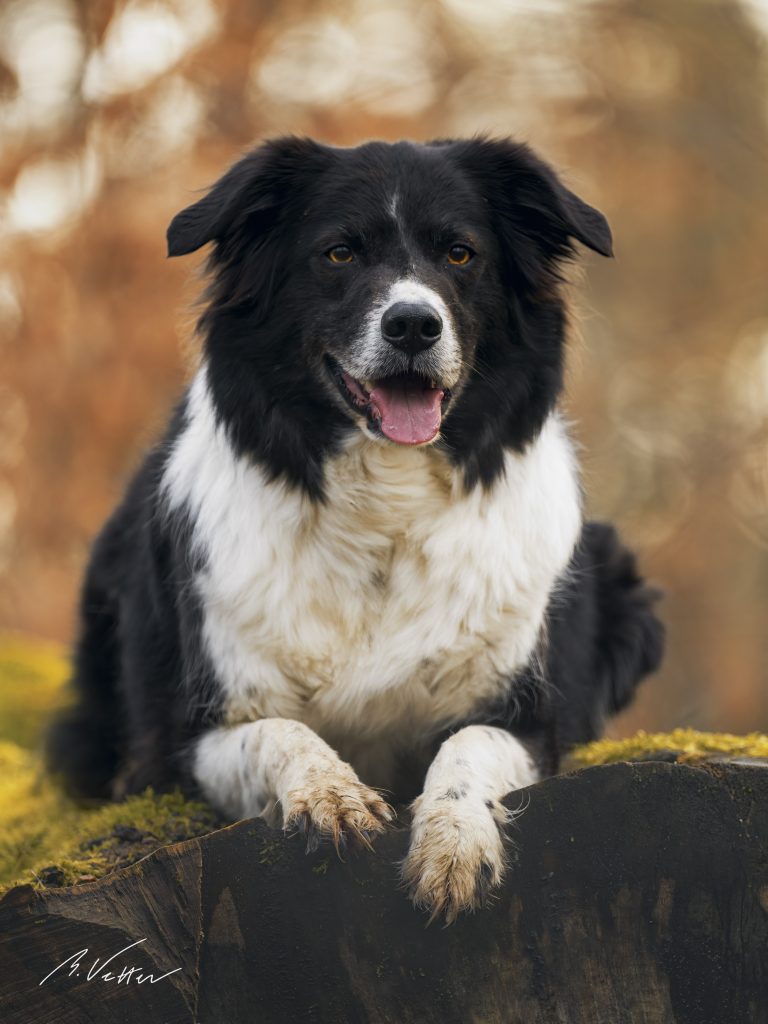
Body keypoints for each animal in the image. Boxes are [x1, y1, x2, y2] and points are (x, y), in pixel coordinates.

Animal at [48, 134, 663, 921]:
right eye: (339, 253)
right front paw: (330, 795)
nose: (413, 325)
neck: (386, 507)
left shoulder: (532, 719)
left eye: (460, 253)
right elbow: (281, 734)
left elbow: (469, 745)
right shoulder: (183, 744)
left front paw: (454, 842)